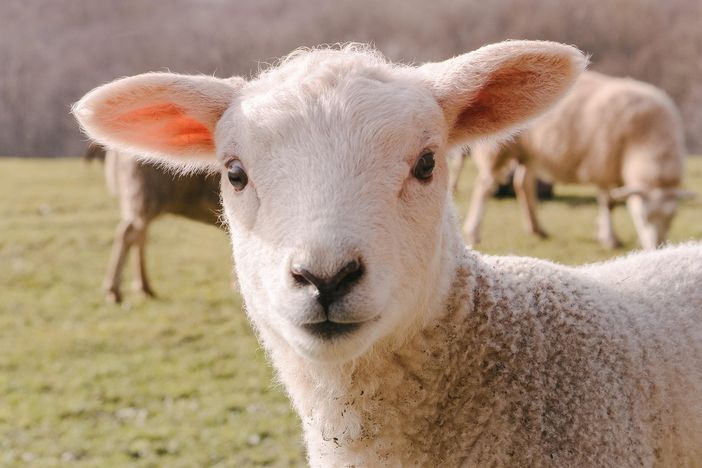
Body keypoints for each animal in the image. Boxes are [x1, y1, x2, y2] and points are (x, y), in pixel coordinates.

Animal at [458, 71, 694, 249]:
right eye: (643, 218)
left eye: (673, 218)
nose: (657, 247)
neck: (645, 143)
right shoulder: (603, 162)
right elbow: (608, 203)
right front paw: (610, 239)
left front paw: (602, 232)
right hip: (498, 148)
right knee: (484, 186)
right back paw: (473, 232)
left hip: (530, 152)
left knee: (523, 183)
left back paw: (537, 229)